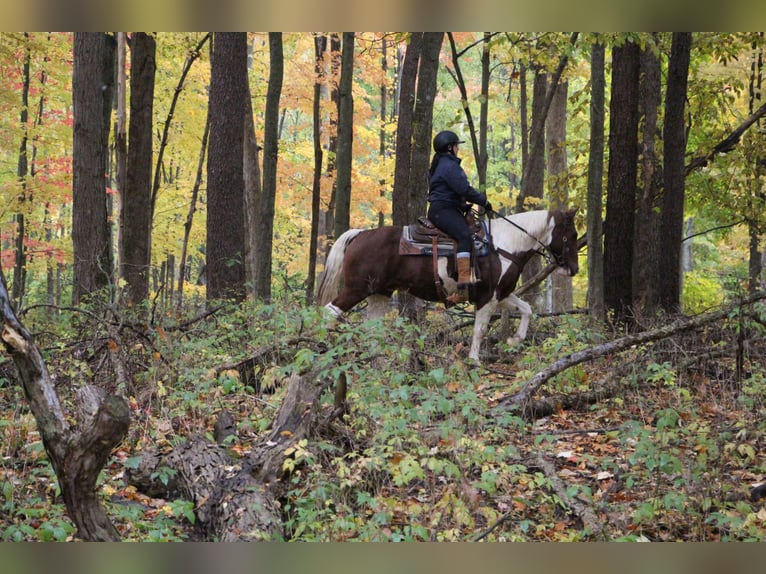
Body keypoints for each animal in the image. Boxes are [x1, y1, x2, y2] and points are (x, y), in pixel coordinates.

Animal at [316, 209, 580, 364]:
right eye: (573, 234)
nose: (574, 269)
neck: (505, 245)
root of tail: (360, 234)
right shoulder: (488, 297)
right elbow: (480, 329)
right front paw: (474, 361)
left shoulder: (501, 294)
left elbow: (526, 309)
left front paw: (515, 340)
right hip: (356, 290)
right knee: (329, 312)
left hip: (378, 294)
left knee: (373, 328)